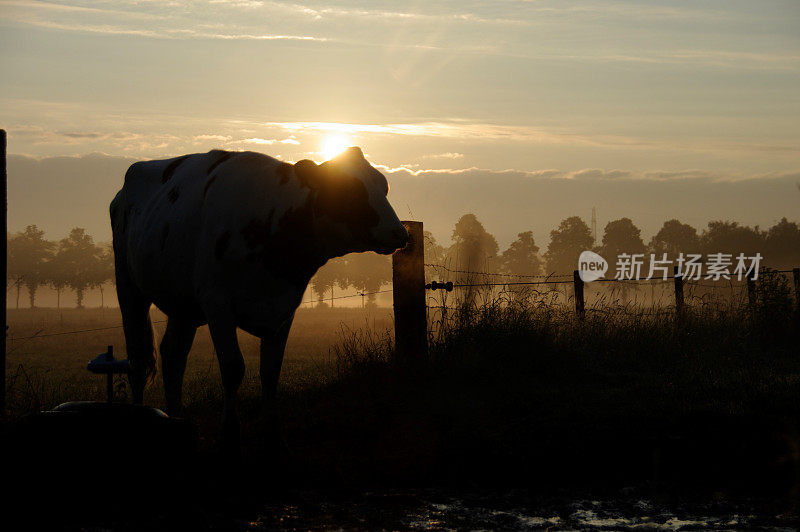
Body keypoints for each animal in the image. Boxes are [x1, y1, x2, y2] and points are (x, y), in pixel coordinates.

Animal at [110, 145, 410, 444]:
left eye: (383, 186)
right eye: (351, 189)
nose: (399, 233)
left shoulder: (285, 305)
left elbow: (271, 369)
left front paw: (271, 425)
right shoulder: (217, 303)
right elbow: (233, 368)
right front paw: (230, 429)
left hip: (182, 305)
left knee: (173, 355)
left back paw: (177, 419)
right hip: (128, 286)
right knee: (138, 359)